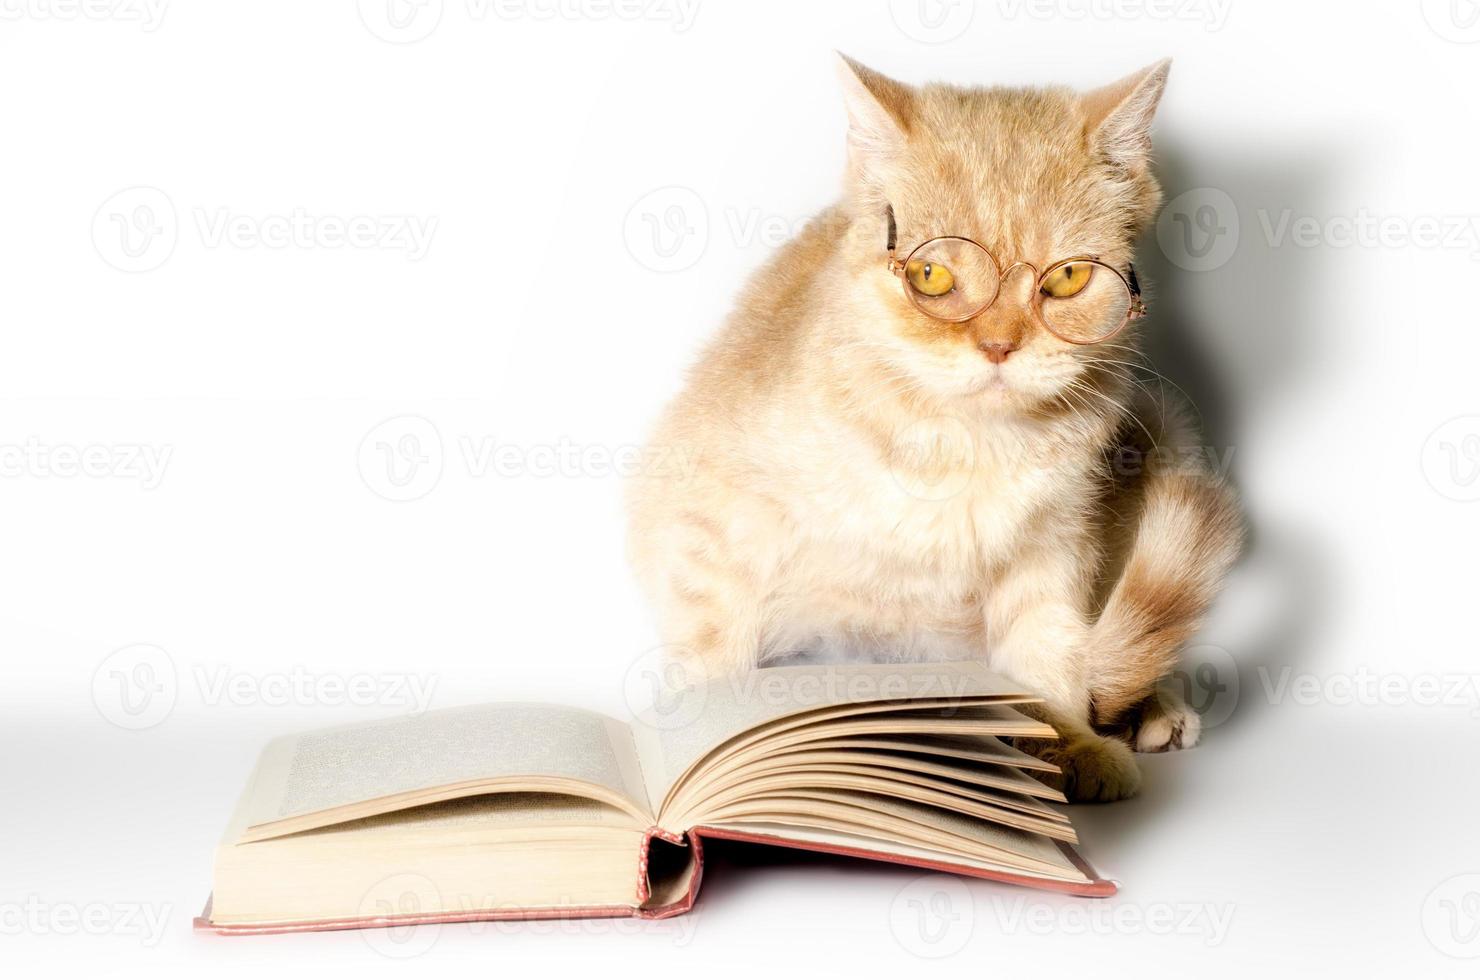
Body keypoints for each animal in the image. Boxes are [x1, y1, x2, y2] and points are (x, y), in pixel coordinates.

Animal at [624, 55, 1237, 805]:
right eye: (931, 274)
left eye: (1066, 278)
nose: (999, 345)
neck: (964, 444)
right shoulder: (712, 517)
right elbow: (714, 647)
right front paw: (705, 756)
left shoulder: (1056, 546)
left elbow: (1047, 654)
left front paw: (1069, 744)